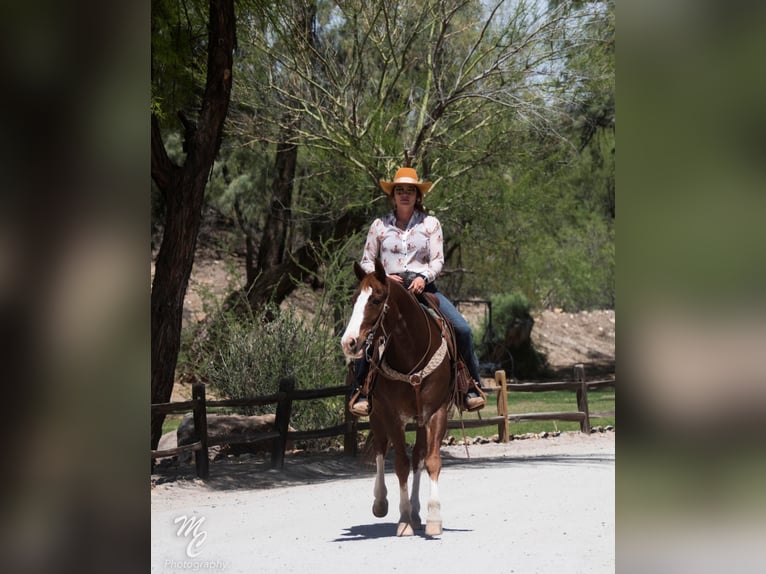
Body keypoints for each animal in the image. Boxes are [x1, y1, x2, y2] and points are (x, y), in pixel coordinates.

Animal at [340, 260, 452, 540]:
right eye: (355, 299)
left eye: (376, 299)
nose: (348, 342)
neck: (412, 354)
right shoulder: (391, 415)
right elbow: (399, 464)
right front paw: (404, 521)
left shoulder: (436, 412)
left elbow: (431, 460)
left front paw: (433, 518)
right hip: (376, 414)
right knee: (381, 450)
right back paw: (381, 503)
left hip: (420, 420)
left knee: (419, 456)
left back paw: (416, 511)